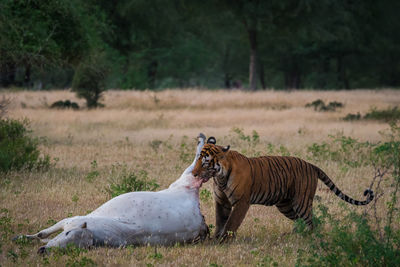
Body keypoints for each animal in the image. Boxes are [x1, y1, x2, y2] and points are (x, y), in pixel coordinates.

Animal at [15, 135, 209, 254]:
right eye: (67, 236)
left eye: (73, 245)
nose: (43, 252)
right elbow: (42, 235)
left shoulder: (71, 219)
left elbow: (42, 234)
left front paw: (21, 238)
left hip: (185, 177)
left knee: (195, 159)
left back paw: (202, 139)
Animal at [192, 138, 374, 241]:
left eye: (205, 161)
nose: (193, 173)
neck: (220, 177)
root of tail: (311, 165)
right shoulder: (221, 201)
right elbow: (220, 221)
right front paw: (216, 239)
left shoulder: (241, 202)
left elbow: (231, 223)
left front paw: (224, 240)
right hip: (286, 205)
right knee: (301, 221)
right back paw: (294, 235)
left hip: (301, 201)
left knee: (311, 221)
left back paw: (307, 238)